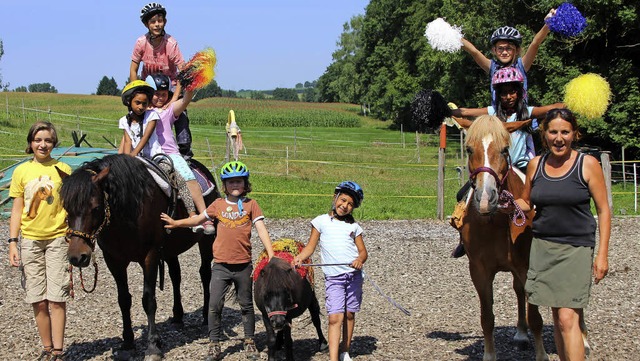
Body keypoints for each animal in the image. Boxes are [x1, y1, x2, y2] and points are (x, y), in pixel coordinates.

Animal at [60, 154, 220, 360]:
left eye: (95, 207)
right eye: (66, 207)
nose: (77, 256)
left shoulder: (150, 256)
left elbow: (148, 300)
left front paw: (152, 346)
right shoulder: (114, 260)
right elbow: (123, 300)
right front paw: (127, 343)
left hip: (206, 242)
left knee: (205, 274)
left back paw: (206, 316)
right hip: (170, 249)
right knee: (176, 276)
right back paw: (177, 316)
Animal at [458, 115, 548, 360]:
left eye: (505, 149)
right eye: (469, 149)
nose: (485, 198)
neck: (495, 222)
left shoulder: (526, 268)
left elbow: (535, 317)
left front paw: (542, 354)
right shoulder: (479, 271)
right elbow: (487, 318)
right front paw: (489, 355)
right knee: (518, 291)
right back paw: (520, 334)